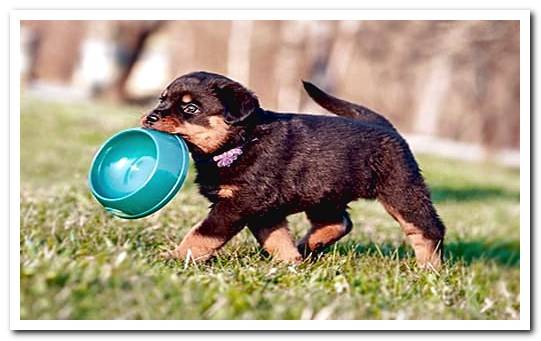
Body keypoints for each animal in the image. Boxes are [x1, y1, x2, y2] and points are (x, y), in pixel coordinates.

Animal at [141, 71, 446, 268]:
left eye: (191, 108)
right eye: (161, 99)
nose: (151, 117)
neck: (242, 142)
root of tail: (385, 125)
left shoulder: (238, 205)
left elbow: (202, 234)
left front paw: (175, 257)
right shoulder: (263, 210)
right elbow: (277, 239)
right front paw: (290, 263)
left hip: (401, 190)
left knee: (428, 229)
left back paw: (429, 268)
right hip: (325, 194)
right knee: (339, 222)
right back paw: (306, 248)